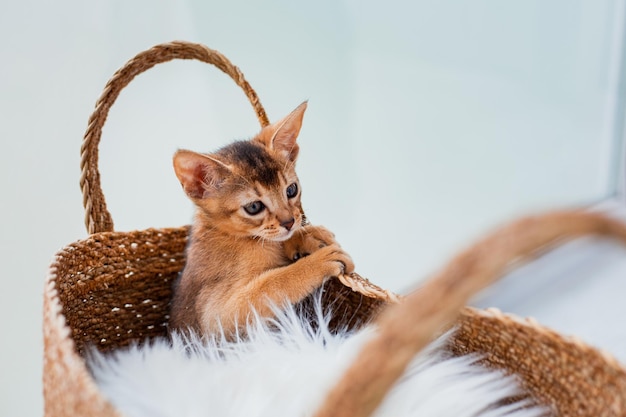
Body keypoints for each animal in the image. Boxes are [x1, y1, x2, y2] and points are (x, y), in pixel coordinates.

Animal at [168, 102, 354, 336]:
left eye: (291, 190)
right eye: (254, 207)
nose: (289, 222)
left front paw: (308, 236)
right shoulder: (215, 319)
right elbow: (270, 285)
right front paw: (315, 263)